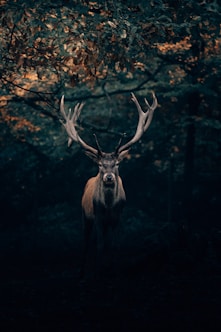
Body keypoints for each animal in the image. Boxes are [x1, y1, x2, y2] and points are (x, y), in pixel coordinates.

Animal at [59, 92, 158, 276]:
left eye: (117, 163)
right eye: (99, 164)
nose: (109, 177)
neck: (109, 206)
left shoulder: (118, 218)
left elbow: (114, 245)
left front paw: (112, 269)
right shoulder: (98, 217)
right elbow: (99, 246)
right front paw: (99, 270)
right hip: (85, 215)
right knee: (86, 242)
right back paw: (82, 272)